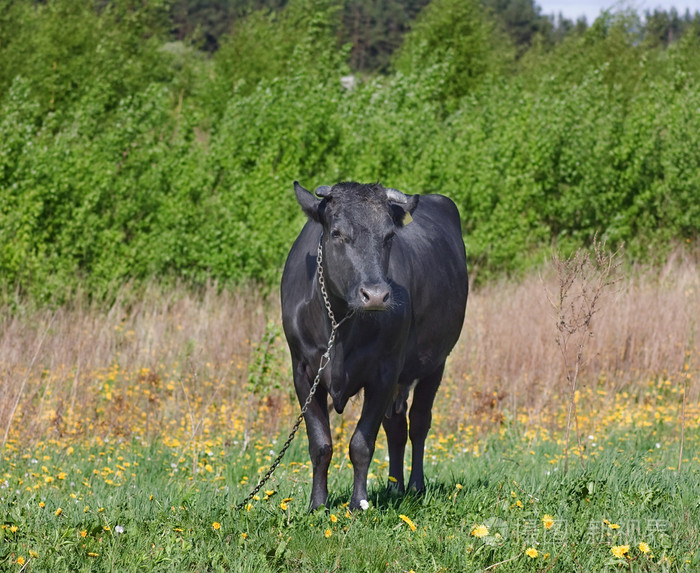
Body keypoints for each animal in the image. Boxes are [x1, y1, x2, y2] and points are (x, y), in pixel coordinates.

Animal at [280, 180, 470, 510]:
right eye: (337, 233)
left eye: (389, 235)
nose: (376, 295)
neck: (340, 323)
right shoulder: (303, 372)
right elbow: (320, 444)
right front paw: (318, 505)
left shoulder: (385, 371)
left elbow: (361, 443)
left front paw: (359, 503)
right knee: (396, 427)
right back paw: (394, 487)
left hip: (435, 363)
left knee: (418, 423)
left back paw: (415, 486)